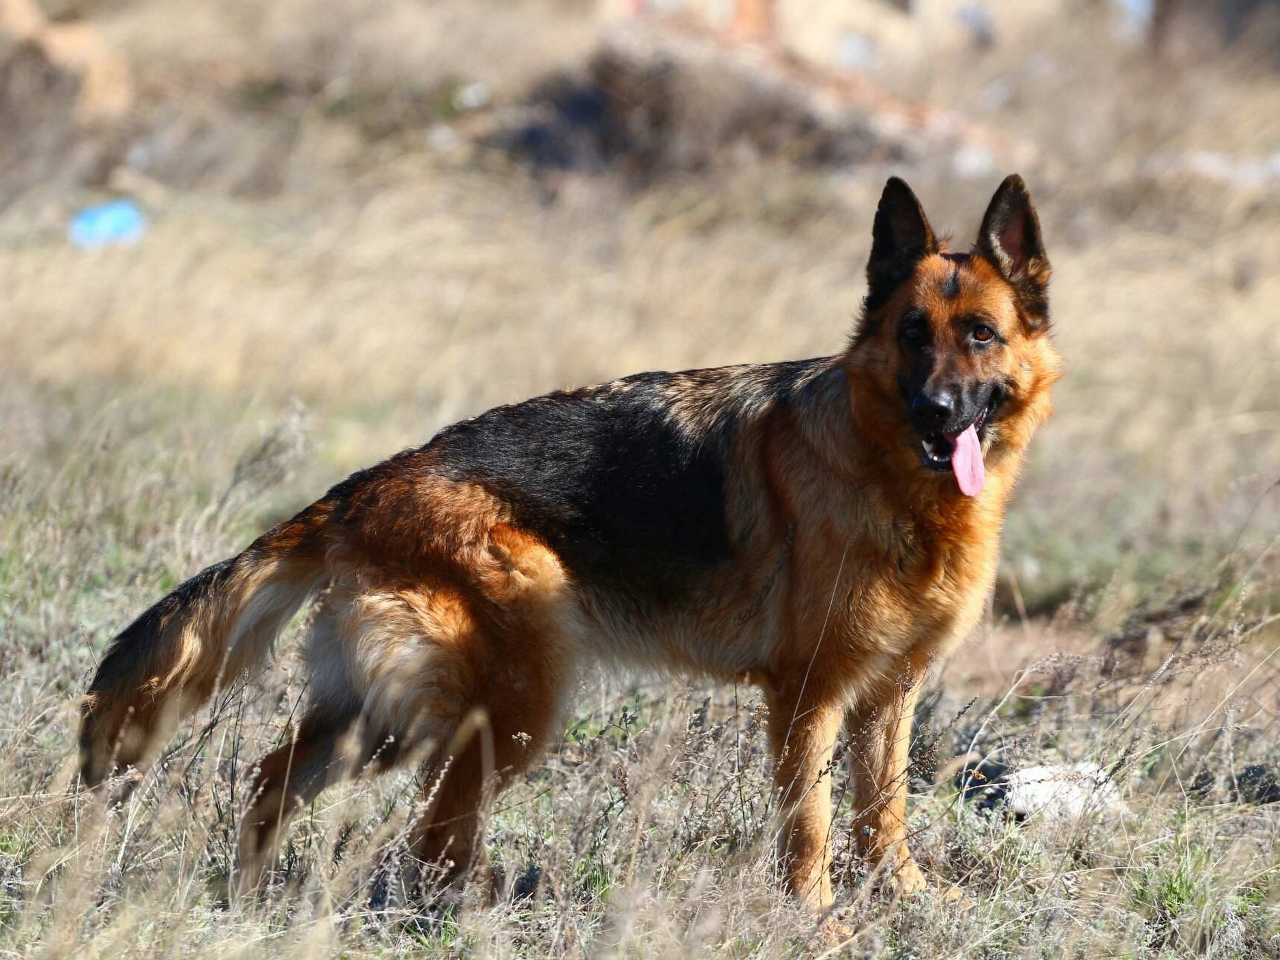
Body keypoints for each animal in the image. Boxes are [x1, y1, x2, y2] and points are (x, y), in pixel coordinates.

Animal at [77, 176, 1059, 921]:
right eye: (909, 336)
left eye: (979, 334)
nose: (937, 414)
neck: (888, 477)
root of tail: (367, 486)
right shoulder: (807, 698)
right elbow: (811, 825)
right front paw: (817, 921)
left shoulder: (888, 696)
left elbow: (882, 812)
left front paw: (909, 900)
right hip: (502, 713)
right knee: (431, 842)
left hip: (380, 718)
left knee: (276, 781)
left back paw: (247, 902)